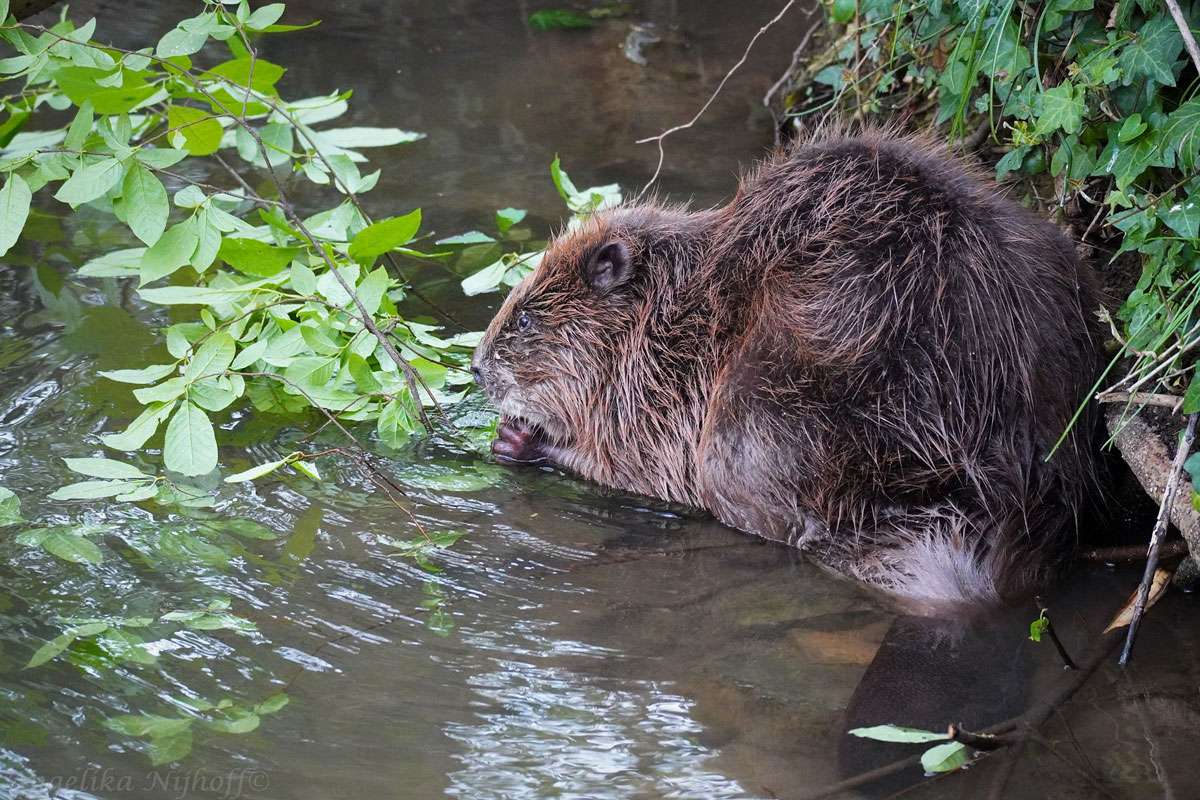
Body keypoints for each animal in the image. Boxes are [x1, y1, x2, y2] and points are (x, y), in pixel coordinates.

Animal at [470, 130, 1099, 606]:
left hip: (761, 414)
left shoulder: (659, 390)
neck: (674, 305)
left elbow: (641, 470)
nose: (476, 367)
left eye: (525, 318)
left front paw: (518, 440)